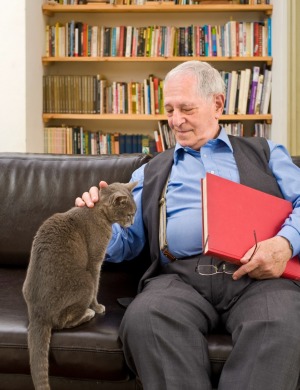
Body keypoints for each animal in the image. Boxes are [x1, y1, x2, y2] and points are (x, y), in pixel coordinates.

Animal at [22, 181, 137, 390]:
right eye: (129, 214)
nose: (132, 223)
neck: (98, 212)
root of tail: (37, 315)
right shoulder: (95, 261)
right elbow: (97, 285)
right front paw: (97, 307)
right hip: (85, 281)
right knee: (63, 321)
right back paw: (88, 313)